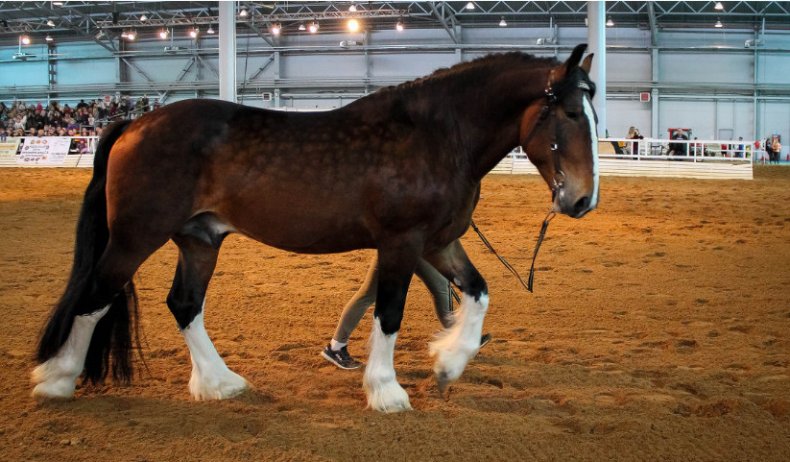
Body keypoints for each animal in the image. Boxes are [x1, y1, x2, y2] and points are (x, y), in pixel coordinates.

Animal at [31, 43, 600, 412]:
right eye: (572, 114)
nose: (582, 199)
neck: (437, 136)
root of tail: (135, 122)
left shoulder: (438, 242)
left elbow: (478, 293)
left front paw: (448, 362)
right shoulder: (402, 243)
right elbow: (390, 313)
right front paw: (387, 391)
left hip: (199, 240)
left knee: (184, 304)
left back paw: (219, 384)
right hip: (135, 237)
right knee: (94, 296)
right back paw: (56, 381)